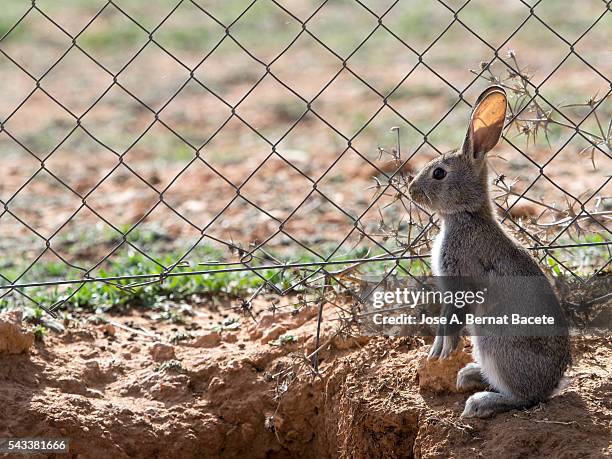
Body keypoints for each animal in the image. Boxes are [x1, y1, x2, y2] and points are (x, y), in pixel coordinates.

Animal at [408, 84, 572, 418]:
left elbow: (451, 320)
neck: (466, 215)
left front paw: (440, 352)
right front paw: (439, 353)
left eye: (439, 174)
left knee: (524, 398)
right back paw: (470, 375)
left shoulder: (461, 282)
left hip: (493, 342)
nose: (411, 189)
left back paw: (480, 402)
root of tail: (550, 386)